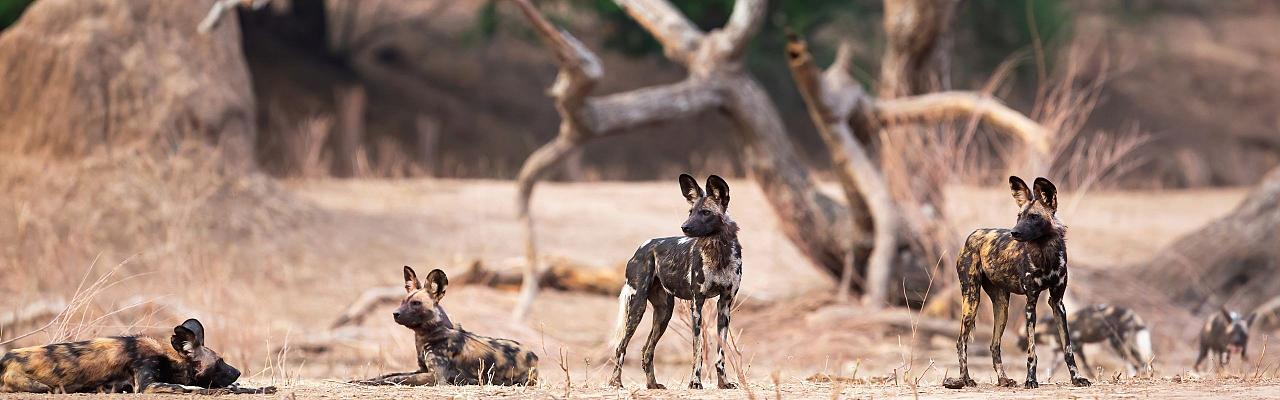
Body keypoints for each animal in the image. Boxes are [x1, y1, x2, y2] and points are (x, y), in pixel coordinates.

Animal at [0, 319, 270, 394]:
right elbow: (196, 388)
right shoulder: (147, 385)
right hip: (41, 386)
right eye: (221, 362)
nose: (238, 371)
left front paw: (262, 387)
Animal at [355, 266, 540, 387]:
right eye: (403, 302)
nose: (395, 313)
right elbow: (390, 374)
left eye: (416, 303)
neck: (428, 334)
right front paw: (360, 380)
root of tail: (535, 357)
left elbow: (395, 379)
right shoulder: (421, 370)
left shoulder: (437, 377)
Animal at [609, 173, 742, 389]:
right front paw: (695, 382)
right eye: (690, 211)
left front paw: (724, 383)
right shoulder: (697, 304)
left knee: (647, 350)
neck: (717, 251)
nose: (684, 227)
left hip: (664, 312)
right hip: (637, 307)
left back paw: (653, 385)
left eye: (705, 212)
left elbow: (720, 353)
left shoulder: (725, 305)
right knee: (621, 346)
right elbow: (698, 350)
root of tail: (642, 247)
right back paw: (615, 382)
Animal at [942, 176, 1090, 389]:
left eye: (1034, 217)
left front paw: (1077, 378)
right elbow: (1032, 351)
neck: (1045, 253)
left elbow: (1068, 348)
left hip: (1002, 307)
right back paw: (966, 379)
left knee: (994, 345)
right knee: (961, 342)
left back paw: (1003, 379)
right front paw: (1031, 380)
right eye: (1019, 216)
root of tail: (974, 234)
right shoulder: (1030, 303)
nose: (1014, 232)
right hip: (971, 300)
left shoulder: (1057, 303)